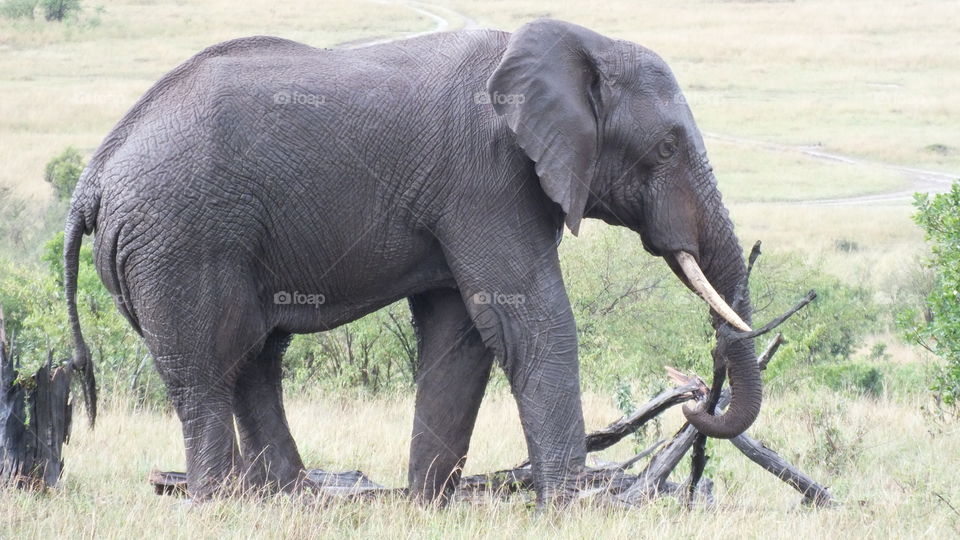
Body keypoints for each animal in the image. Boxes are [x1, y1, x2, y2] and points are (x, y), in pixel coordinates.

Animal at [64, 19, 761, 505]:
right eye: (667, 148)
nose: (694, 399)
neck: (579, 42)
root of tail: (93, 178)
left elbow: (463, 337)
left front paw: (427, 506)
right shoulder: (489, 179)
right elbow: (528, 321)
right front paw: (572, 509)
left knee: (253, 360)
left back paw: (288, 502)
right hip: (181, 239)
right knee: (209, 369)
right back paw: (222, 507)